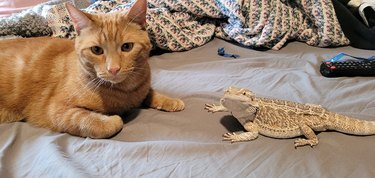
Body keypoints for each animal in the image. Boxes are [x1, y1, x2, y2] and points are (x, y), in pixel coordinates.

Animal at [0, 0, 185, 138]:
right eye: (96, 50)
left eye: (127, 47)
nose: (113, 69)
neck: (125, 91)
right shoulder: (57, 110)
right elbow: (94, 122)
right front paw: (113, 119)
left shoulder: (141, 88)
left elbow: (150, 92)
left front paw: (169, 100)